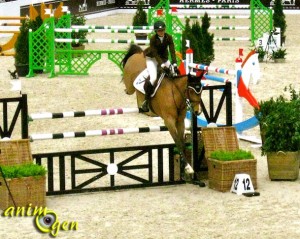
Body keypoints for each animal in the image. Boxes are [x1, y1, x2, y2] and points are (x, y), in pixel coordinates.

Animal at [121, 44, 204, 182]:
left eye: (201, 90)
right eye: (191, 90)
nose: (197, 111)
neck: (175, 94)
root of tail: (138, 54)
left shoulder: (180, 122)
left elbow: (182, 143)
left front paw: (185, 170)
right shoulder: (169, 121)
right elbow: (177, 142)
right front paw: (188, 168)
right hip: (130, 85)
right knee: (129, 89)